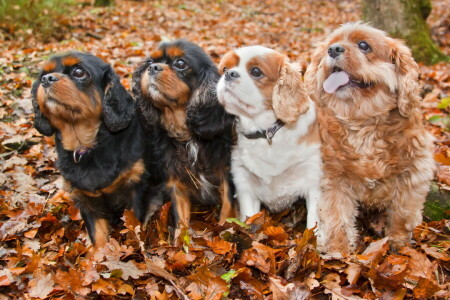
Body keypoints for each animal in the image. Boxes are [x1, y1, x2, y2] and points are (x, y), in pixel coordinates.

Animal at [31, 51, 155, 247]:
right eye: (43, 74)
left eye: (79, 72)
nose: (46, 79)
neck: (86, 145)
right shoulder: (86, 199)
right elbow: (97, 236)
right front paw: (99, 254)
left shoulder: (136, 186)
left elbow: (134, 228)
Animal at [131, 39, 234, 227]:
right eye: (150, 62)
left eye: (180, 63)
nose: (152, 68)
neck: (187, 135)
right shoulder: (176, 184)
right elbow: (181, 220)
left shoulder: (227, 171)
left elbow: (228, 207)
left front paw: (227, 228)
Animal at [216, 45, 322, 230]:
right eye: (225, 69)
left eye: (256, 71)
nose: (229, 74)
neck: (265, 132)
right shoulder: (244, 185)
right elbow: (248, 217)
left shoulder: (313, 180)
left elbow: (314, 222)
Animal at [304, 22, 434, 254]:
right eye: (329, 45)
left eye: (364, 45)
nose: (333, 50)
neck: (362, 122)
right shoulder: (333, 177)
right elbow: (336, 216)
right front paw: (339, 251)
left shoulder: (415, 171)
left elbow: (403, 213)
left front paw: (399, 242)